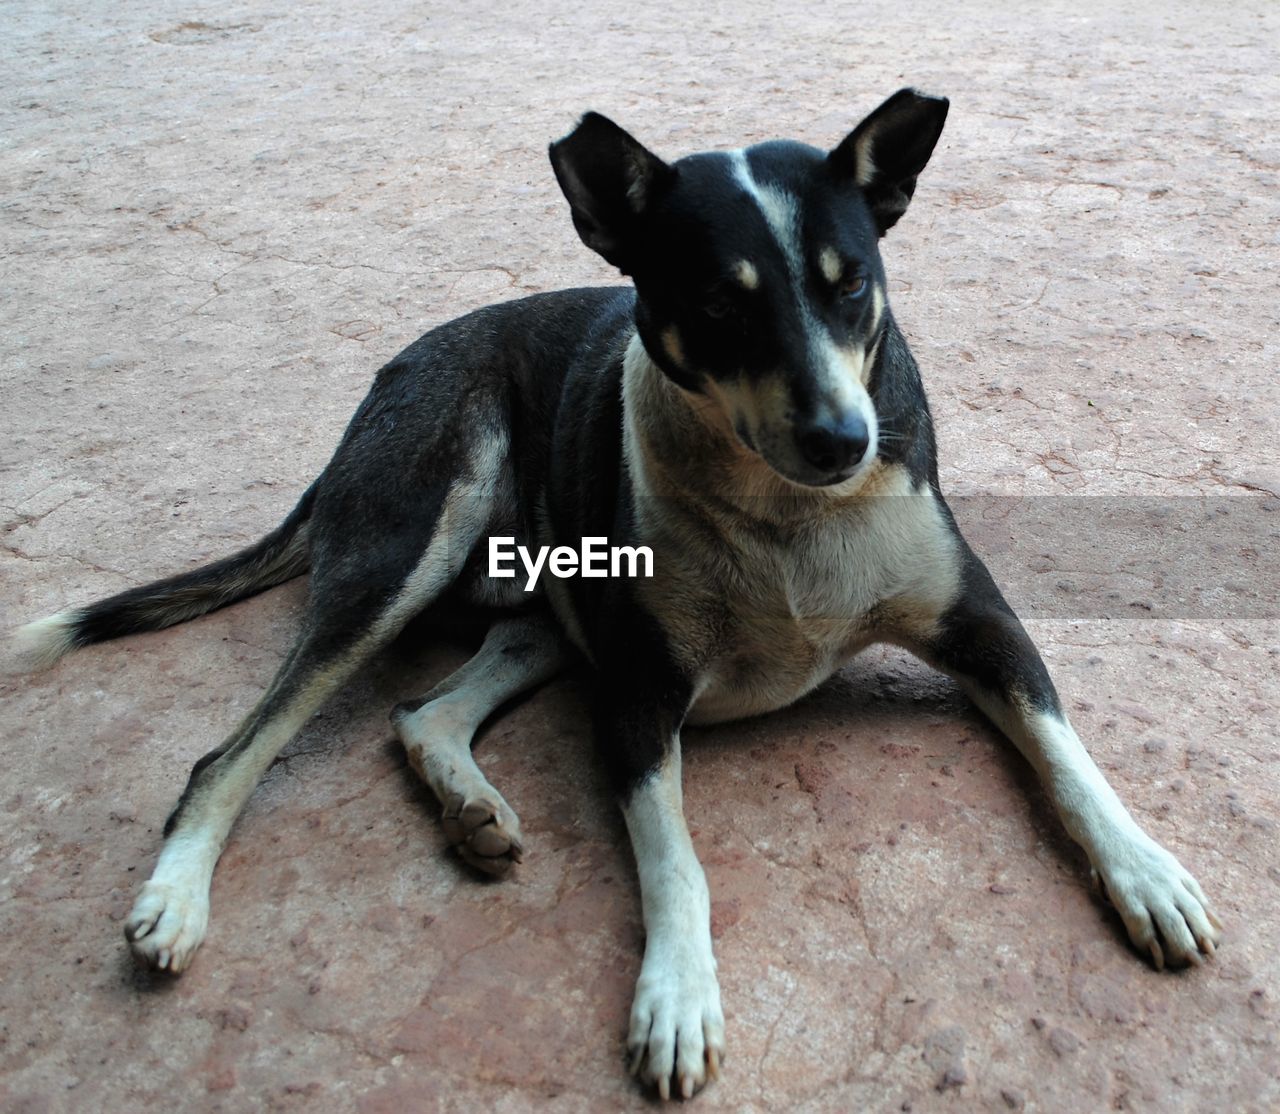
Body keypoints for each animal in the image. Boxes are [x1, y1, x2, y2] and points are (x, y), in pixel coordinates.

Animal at [17, 91, 1218, 1101]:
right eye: (717, 303)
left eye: (848, 283)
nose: (843, 440)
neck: (786, 516)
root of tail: (381, 387)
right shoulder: (638, 695)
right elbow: (676, 863)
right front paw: (677, 998)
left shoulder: (982, 627)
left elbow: (1067, 755)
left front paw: (1145, 871)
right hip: (409, 548)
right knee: (232, 753)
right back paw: (175, 899)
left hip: (548, 617)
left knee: (423, 710)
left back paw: (469, 808)